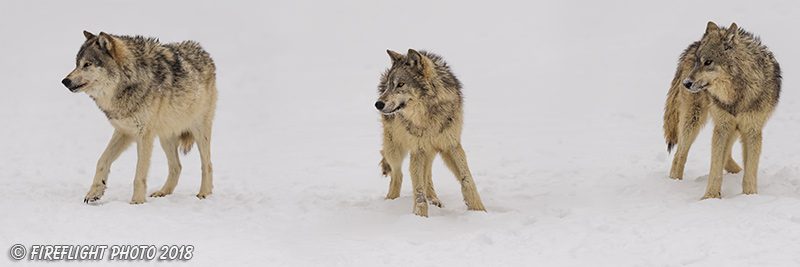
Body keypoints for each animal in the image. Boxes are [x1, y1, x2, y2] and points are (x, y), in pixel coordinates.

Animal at [62, 30, 217, 204]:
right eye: (77, 64)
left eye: (87, 64)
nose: (65, 81)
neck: (129, 81)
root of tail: (203, 52)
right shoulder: (124, 131)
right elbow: (102, 160)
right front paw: (94, 192)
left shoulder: (144, 135)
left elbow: (139, 173)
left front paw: (137, 202)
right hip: (166, 137)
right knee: (176, 166)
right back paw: (163, 192)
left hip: (199, 131)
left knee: (207, 164)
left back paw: (204, 194)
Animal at [376, 48, 488, 218]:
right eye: (390, 85)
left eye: (401, 84)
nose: (378, 104)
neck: (428, 115)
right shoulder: (418, 149)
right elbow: (418, 191)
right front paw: (420, 217)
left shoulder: (451, 145)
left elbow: (467, 180)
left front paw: (479, 211)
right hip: (396, 148)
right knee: (397, 173)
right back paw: (390, 201)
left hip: (430, 150)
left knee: (426, 174)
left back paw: (434, 200)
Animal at [664, 22, 780, 200]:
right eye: (698, 62)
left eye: (708, 62)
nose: (686, 83)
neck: (736, 95)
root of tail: (694, 44)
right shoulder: (723, 126)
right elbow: (715, 167)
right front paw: (710, 197)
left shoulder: (752, 130)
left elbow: (750, 170)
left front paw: (750, 196)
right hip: (694, 120)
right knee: (679, 154)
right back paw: (675, 184)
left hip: (733, 128)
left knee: (728, 156)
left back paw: (737, 172)